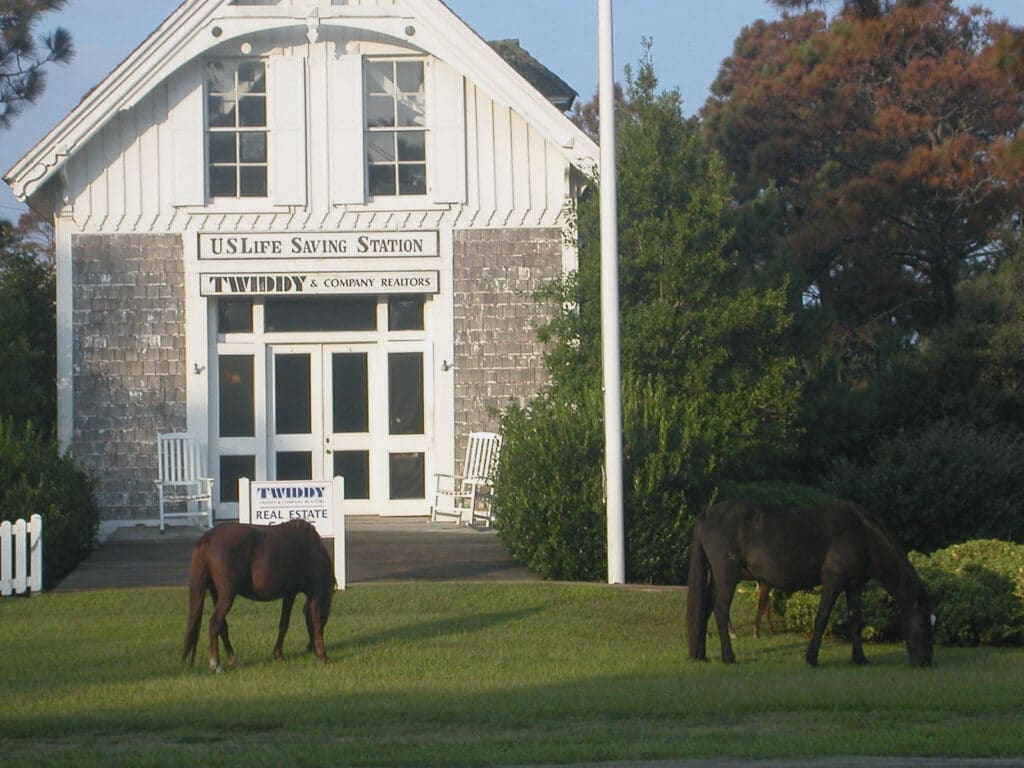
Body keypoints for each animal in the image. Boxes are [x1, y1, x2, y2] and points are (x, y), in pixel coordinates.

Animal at [184, 518, 335, 671]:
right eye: (326, 616)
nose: (310, 647)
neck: (312, 548)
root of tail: (208, 537)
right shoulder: (315, 594)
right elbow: (316, 622)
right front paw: (324, 656)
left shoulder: (289, 594)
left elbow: (284, 624)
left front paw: (278, 655)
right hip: (227, 595)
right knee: (215, 622)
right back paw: (216, 664)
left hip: (216, 594)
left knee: (222, 625)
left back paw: (233, 660)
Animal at [688, 499, 937, 667]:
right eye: (923, 622)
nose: (925, 662)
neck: (862, 533)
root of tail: (706, 515)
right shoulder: (833, 582)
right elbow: (822, 617)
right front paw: (811, 658)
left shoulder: (854, 586)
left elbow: (855, 620)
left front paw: (860, 658)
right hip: (727, 576)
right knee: (721, 611)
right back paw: (729, 657)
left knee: (704, 610)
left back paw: (700, 655)